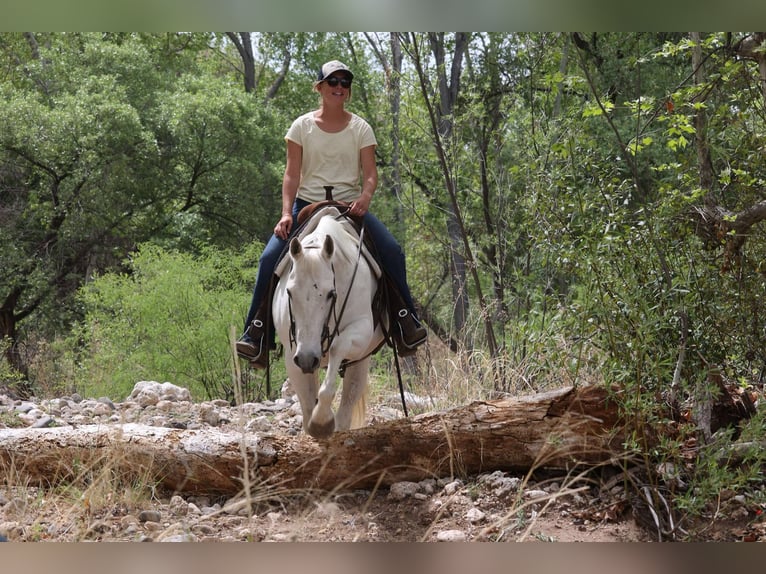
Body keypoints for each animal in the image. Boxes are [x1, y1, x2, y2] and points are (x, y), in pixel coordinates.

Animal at [272, 206, 385, 439]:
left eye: (330, 294)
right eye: (289, 292)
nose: (307, 358)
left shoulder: (361, 331)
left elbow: (337, 347)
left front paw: (322, 421)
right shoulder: (293, 352)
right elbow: (307, 405)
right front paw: (315, 423)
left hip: (360, 362)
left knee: (346, 410)